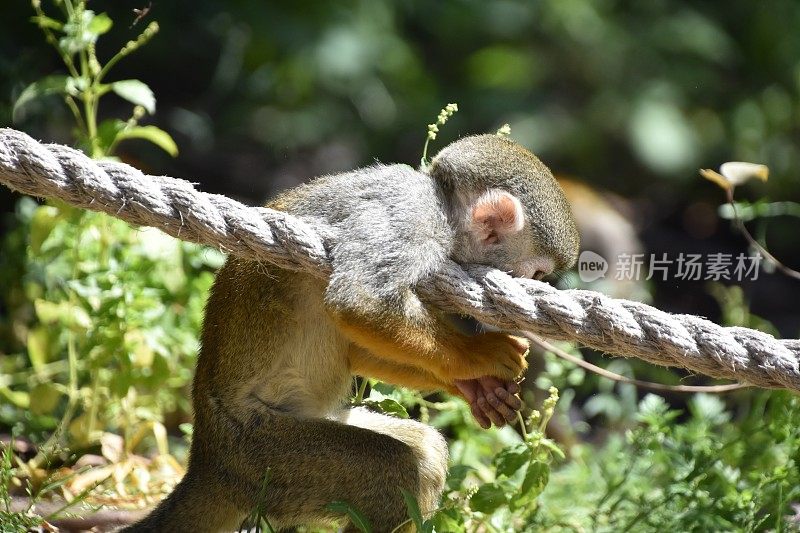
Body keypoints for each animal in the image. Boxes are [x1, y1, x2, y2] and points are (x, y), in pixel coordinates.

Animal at [123, 134, 576, 532]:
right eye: (537, 273)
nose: (534, 284)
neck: (442, 205)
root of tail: (206, 455)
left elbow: (357, 345)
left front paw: (477, 386)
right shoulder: (412, 217)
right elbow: (359, 300)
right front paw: (478, 356)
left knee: (423, 450)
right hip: (263, 457)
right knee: (394, 469)